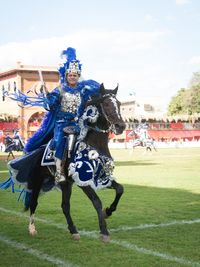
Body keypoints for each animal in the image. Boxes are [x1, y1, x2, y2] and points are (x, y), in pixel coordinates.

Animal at [7, 85, 126, 243]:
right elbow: (97, 201)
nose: (121, 126)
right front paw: (104, 230)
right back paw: (32, 228)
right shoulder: (82, 180)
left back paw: (73, 230)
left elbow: (120, 189)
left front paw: (108, 211)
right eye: (106, 104)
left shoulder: (102, 177)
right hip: (38, 181)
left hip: (66, 184)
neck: (95, 145)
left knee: (65, 206)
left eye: (119, 104)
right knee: (33, 202)